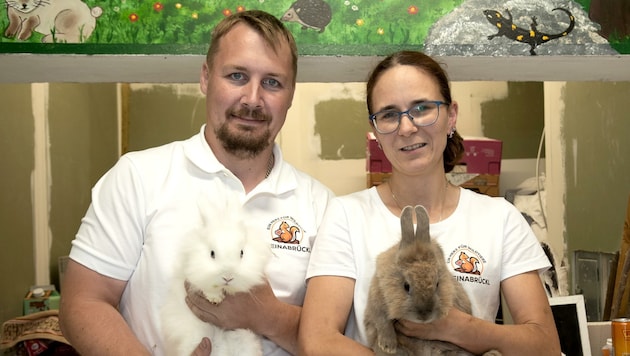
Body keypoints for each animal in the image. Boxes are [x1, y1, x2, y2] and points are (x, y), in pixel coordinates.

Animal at [160, 195, 272, 356]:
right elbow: (205, 286)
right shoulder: (192, 272)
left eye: (242, 253)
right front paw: (215, 298)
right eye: (212, 253)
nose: (228, 277)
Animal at [366, 204, 504, 354]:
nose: (424, 316)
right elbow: (382, 322)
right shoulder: (376, 298)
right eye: (406, 286)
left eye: (437, 284)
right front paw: (388, 346)